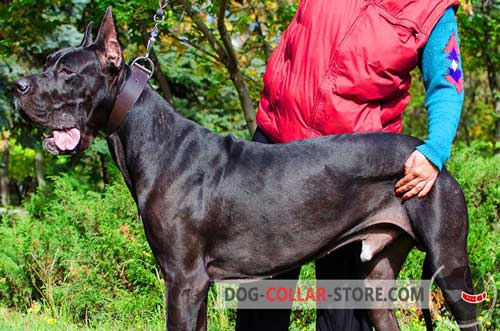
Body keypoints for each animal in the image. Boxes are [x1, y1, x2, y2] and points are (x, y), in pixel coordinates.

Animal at [13, 7, 478, 331]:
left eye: (67, 71)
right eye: (49, 60)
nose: (16, 86)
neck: (149, 139)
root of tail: (433, 158)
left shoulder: (184, 280)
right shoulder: (193, 284)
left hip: (451, 266)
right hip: (376, 282)